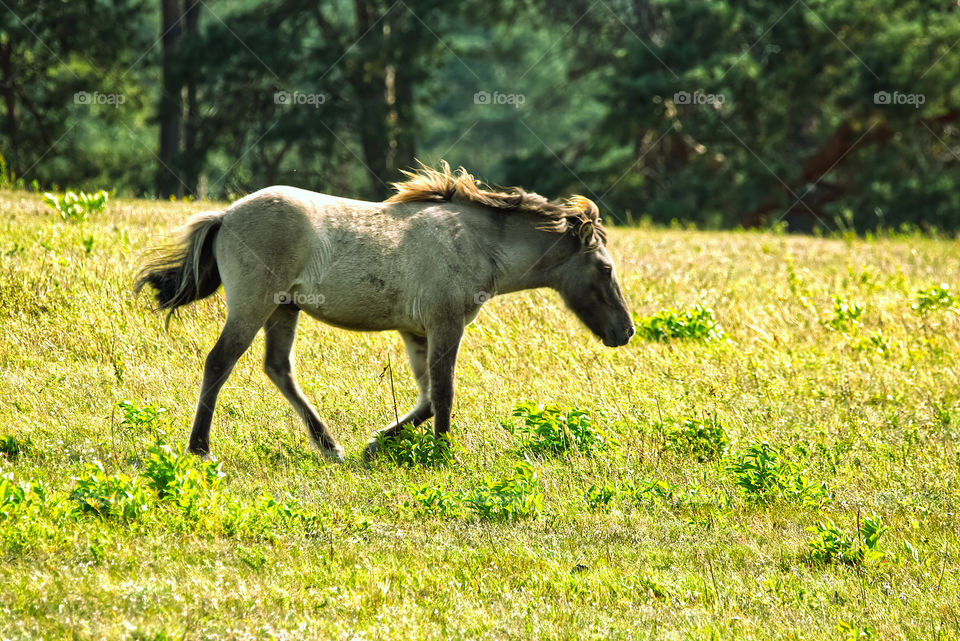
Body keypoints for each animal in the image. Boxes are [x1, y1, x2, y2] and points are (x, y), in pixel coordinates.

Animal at [133, 161, 632, 460]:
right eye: (605, 269)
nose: (625, 332)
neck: (475, 242)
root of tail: (226, 215)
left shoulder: (416, 332)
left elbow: (427, 397)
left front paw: (376, 443)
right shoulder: (446, 324)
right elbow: (444, 392)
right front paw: (442, 454)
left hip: (284, 309)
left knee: (277, 368)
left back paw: (330, 445)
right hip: (252, 306)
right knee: (220, 362)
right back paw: (201, 447)